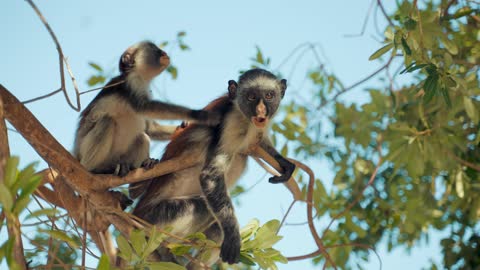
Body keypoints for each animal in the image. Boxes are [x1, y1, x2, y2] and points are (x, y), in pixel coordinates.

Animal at [73, 41, 219, 178]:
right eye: (154, 48)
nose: (164, 52)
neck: (139, 76)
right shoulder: (132, 83)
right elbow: (145, 107)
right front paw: (199, 115)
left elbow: (150, 128)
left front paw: (185, 124)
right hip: (84, 151)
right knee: (106, 121)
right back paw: (96, 169)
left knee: (142, 137)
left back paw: (140, 165)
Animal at [132, 68, 296, 266]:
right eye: (251, 97)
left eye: (269, 96)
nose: (261, 110)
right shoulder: (232, 122)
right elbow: (210, 175)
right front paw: (233, 237)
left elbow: (260, 142)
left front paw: (284, 163)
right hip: (152, 220)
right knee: (202, 206)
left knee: (217, 229)